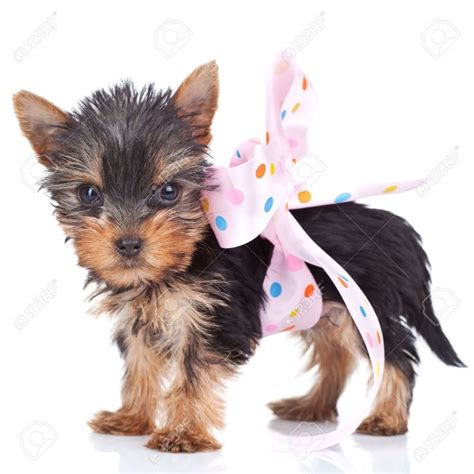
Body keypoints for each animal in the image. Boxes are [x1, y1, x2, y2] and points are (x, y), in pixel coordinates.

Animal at [12, 61, 464, 454]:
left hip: (366, 306)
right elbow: (140, 366)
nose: (128, 244)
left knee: (397, 354)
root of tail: (399, 230)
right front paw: (132, 417)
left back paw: (386, 417)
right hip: (326, 309)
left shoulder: (214, 317)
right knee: (336, 354)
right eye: (90, 193)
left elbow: (193, 375)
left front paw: (182, 433)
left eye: (169, 191)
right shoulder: (142, 318)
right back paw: (311, 406)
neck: (185, 254)